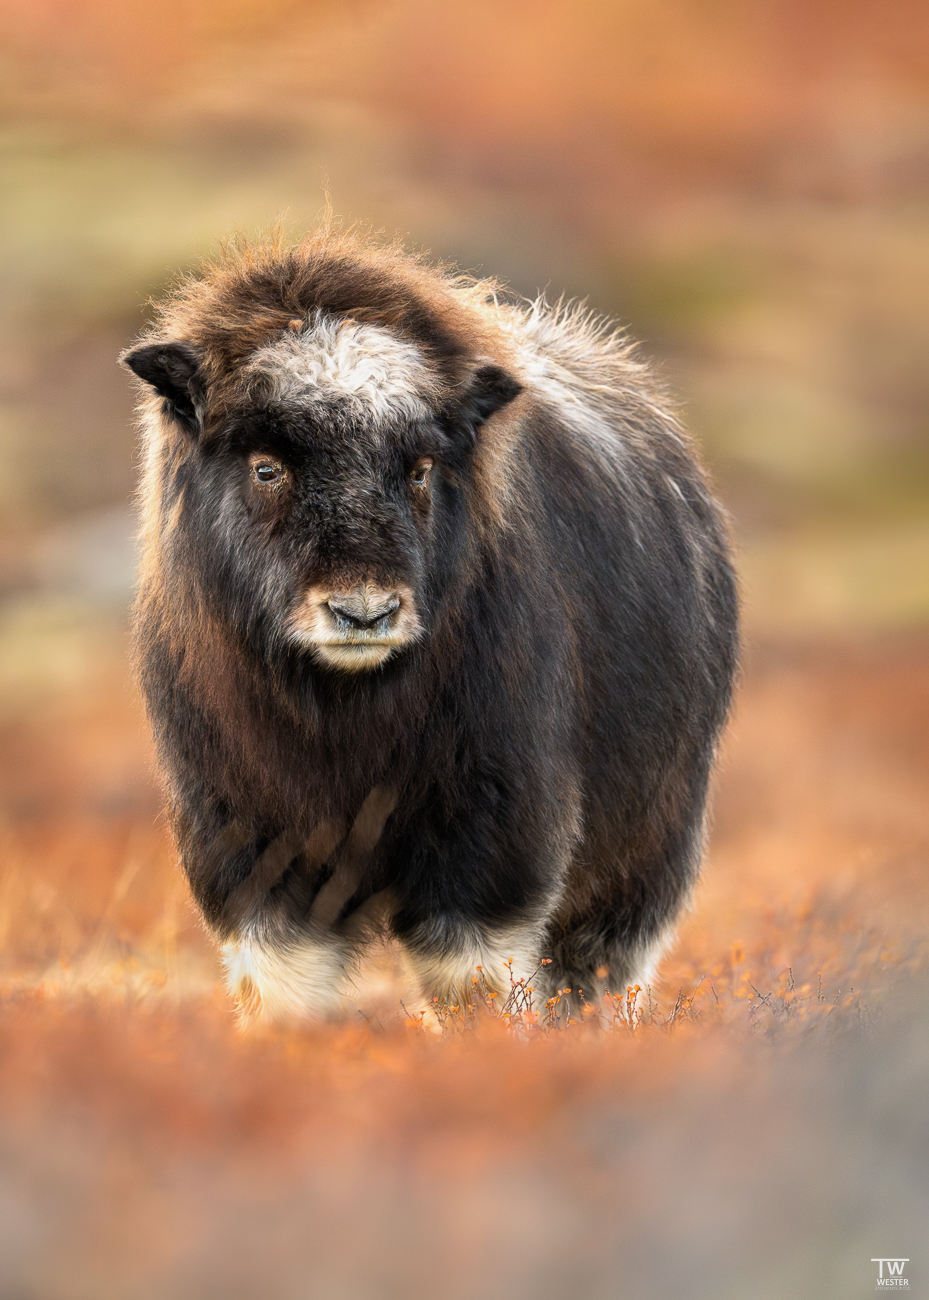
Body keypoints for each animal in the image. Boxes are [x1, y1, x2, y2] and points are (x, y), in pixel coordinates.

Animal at [123, 231, 738, 1024]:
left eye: (418, 468)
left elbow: (475, 977)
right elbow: (283, 982)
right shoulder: (248, 836)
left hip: (646, 844)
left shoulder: (487, 831)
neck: (344, 712)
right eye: (265, 467)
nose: (364, 613)